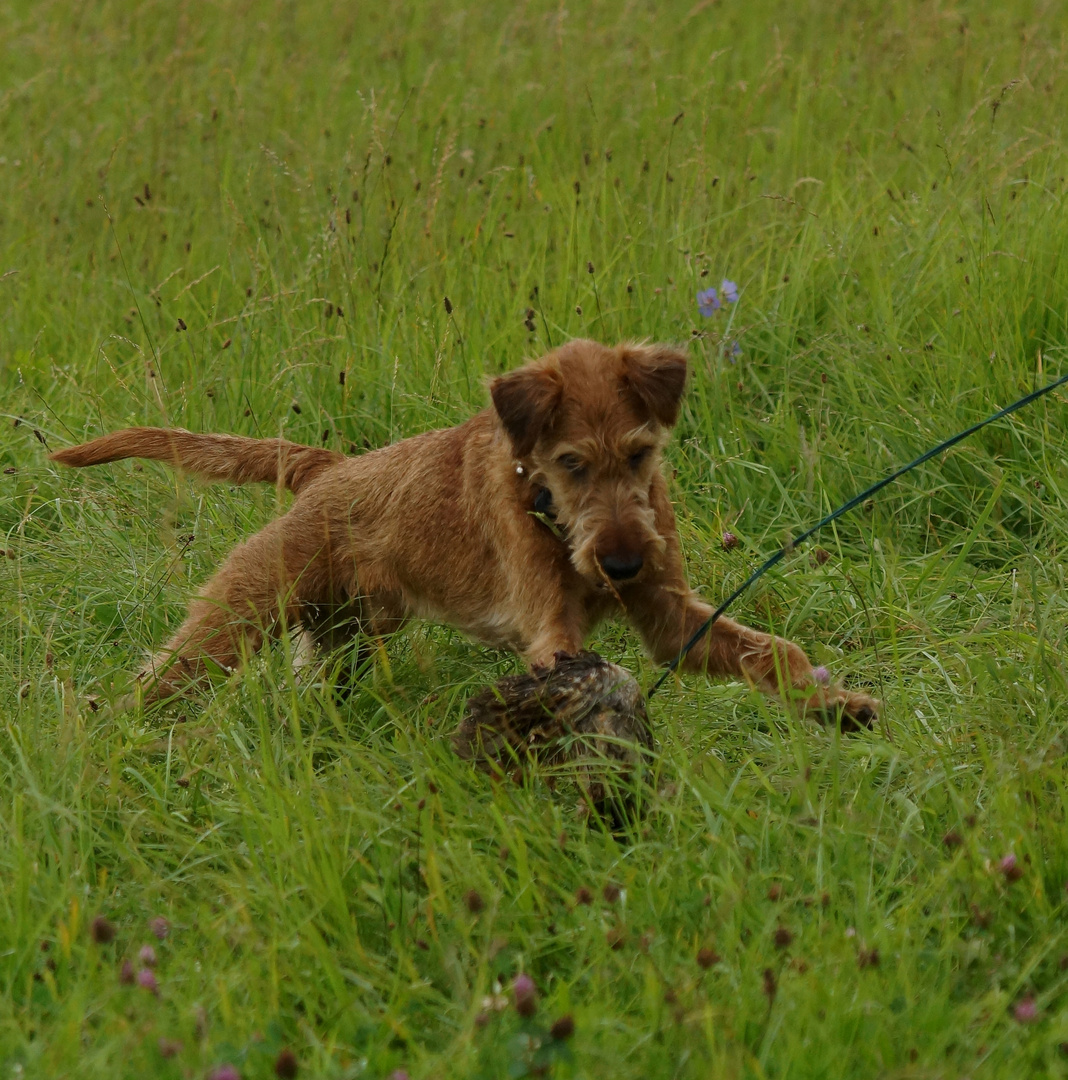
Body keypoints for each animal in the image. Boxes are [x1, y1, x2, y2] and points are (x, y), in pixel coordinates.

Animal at [52, 336, 876, 725]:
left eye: (641, 454)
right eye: (571, 463)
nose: (622, 565)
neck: (548, 508)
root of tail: (325, 470)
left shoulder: (672, 619)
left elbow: (776, 652)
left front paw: (839, 708)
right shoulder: (552, 629)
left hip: (340, 637)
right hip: (238, 613)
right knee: (158, 677)